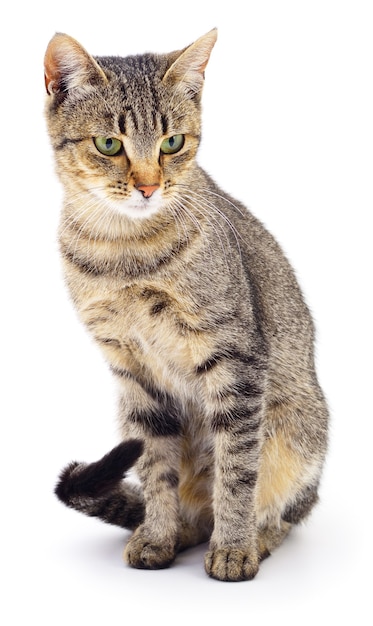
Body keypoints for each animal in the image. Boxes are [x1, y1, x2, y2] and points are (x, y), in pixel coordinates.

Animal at [45, 30, 326, 580]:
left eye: (171, 142)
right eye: (109, 144)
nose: (148, 186)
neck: (125, 254)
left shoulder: (236, 360)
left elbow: (237, 470)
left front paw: (234, 549)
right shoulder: (135, 373)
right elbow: (156, 470)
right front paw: (156, 536)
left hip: (299, 430)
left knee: (285, 510)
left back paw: (255, 537)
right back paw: (179, 531)